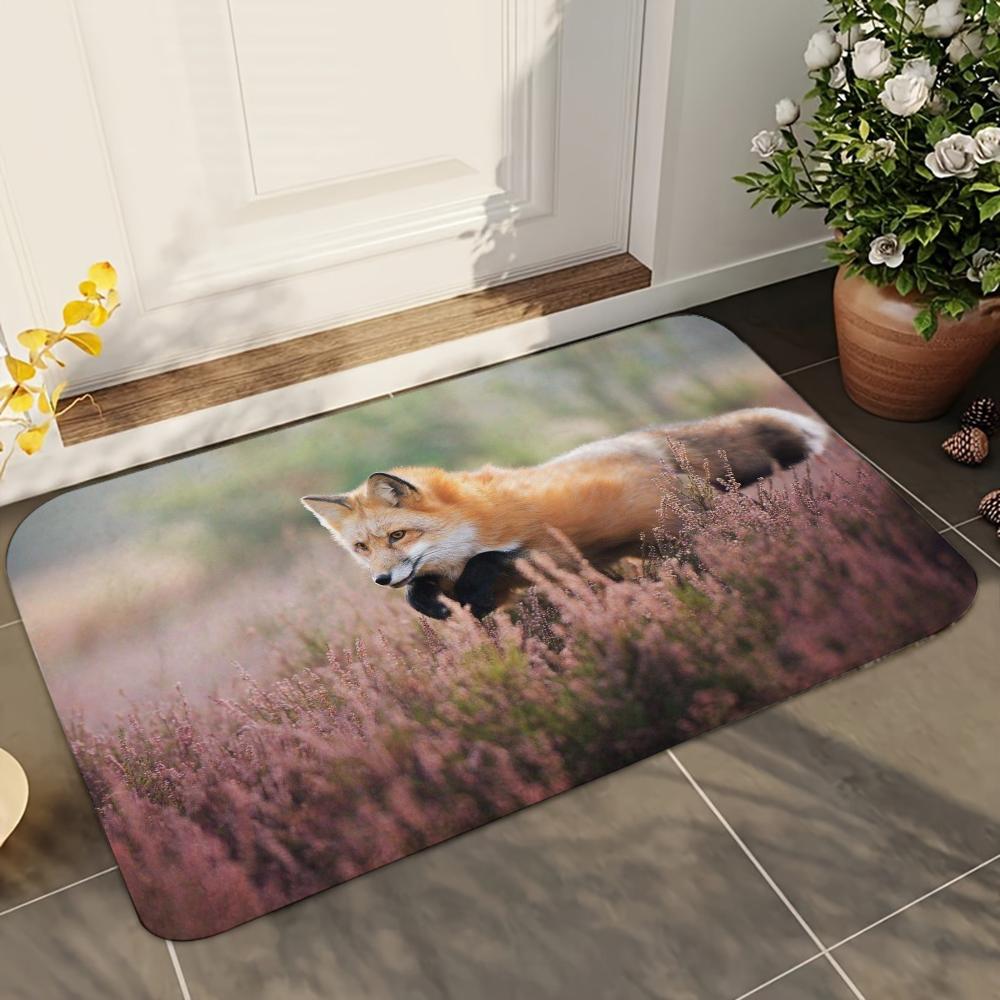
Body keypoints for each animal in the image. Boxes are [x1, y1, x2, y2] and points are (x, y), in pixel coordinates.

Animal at [301, 406, 827, 620]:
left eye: (398, 537)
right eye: (361, 548)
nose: (380, 580)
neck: (471, 523)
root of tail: (644, 440)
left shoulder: (549, 552)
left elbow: (489, 560)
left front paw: (469, 599)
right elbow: (423, 587)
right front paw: (435, 606)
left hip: (677, 531)